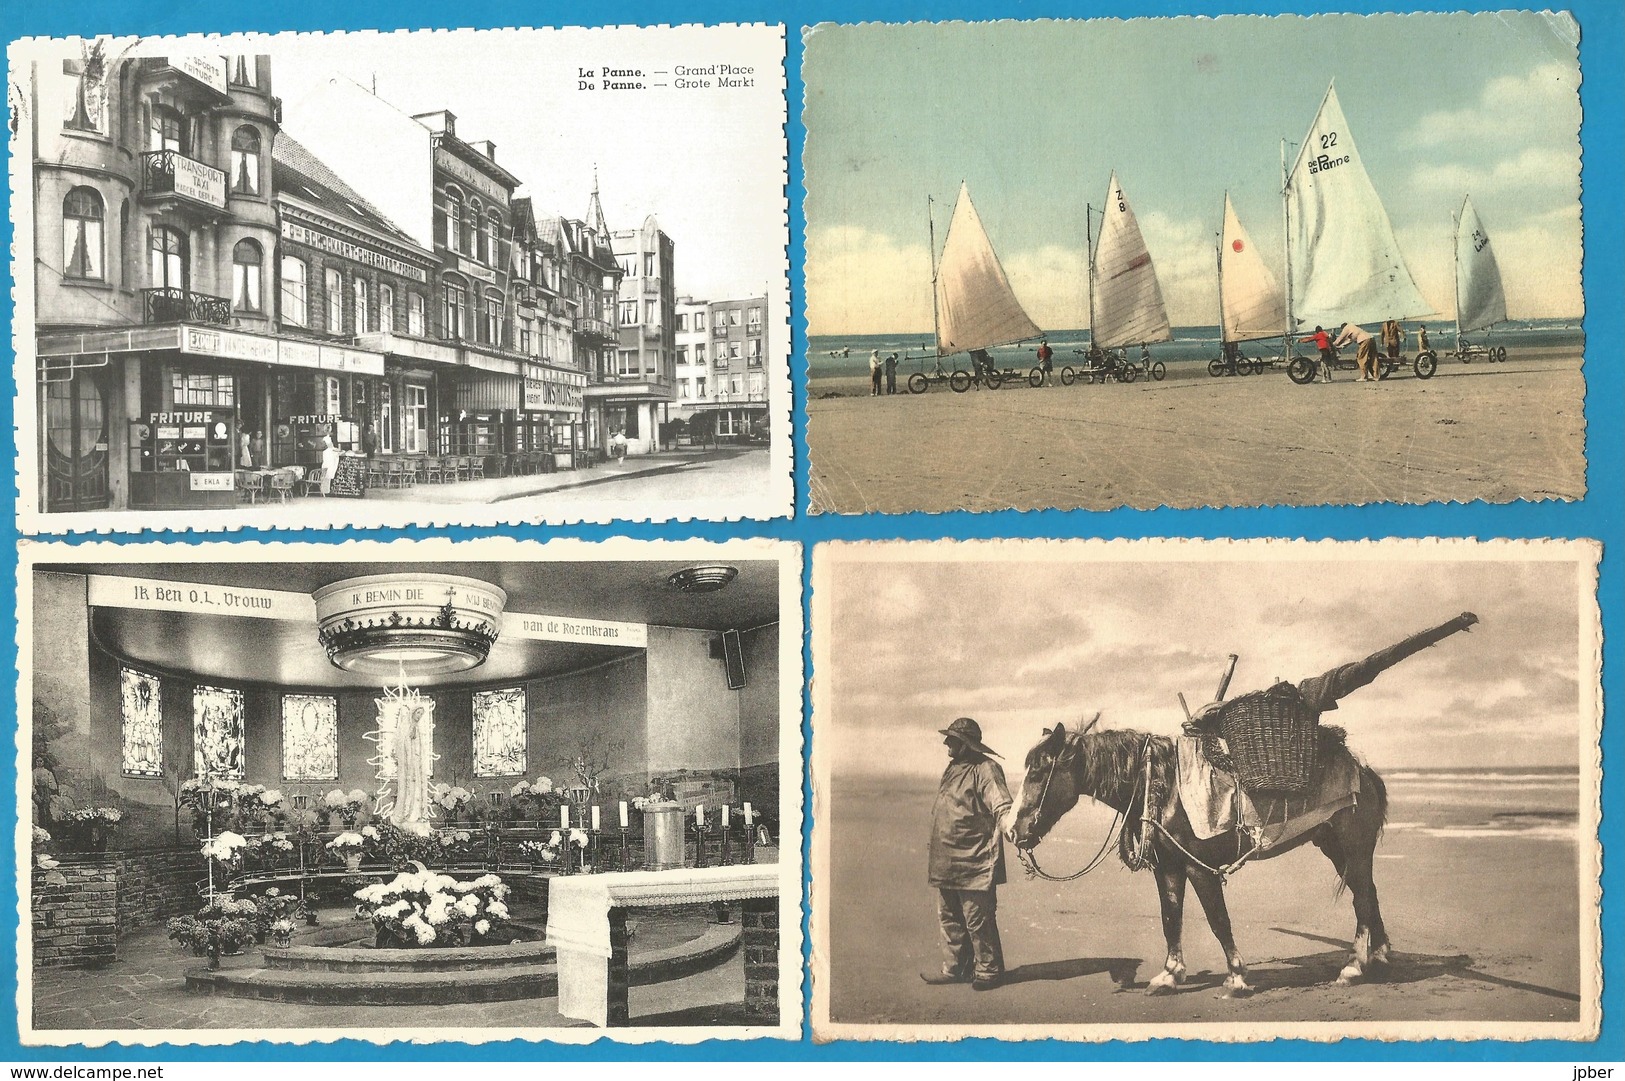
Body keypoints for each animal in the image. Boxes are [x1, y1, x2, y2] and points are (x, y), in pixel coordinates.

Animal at [1007, 715, 1391, 994]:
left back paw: (1353, 967)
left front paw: (1236, 977)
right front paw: (1169, 975)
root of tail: (1364, 771)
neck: (1162, 788)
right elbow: (1170, 918)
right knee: (1369, 895)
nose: (1012, 830)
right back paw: (1380, 956)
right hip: (1336, 849)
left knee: (1362, 901)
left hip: (1354, 848)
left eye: (1038, 772)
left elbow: (1218, 919)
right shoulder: (1168, 868)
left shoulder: (1198, 868)